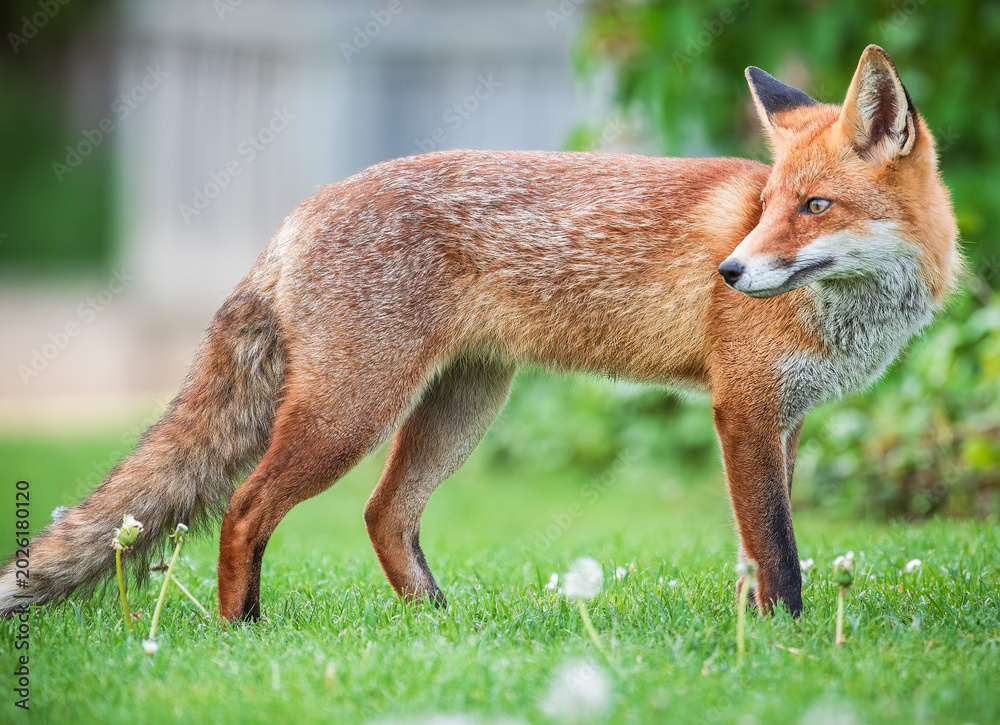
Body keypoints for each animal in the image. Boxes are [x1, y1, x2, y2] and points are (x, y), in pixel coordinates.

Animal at [0, 45, 959, 621]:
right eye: (764, 209)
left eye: (814, 206)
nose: (728, 273)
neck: (854, 312)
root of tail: (296, 215)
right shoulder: (745, 410)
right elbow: (781, 552)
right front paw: (784, 643)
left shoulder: (783, 421)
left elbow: (762, 546)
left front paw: (755, 630)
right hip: (353, 412)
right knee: (244, 508)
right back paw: (245, 629)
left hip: (461, 405)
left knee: (384, 513)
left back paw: (434, 623)